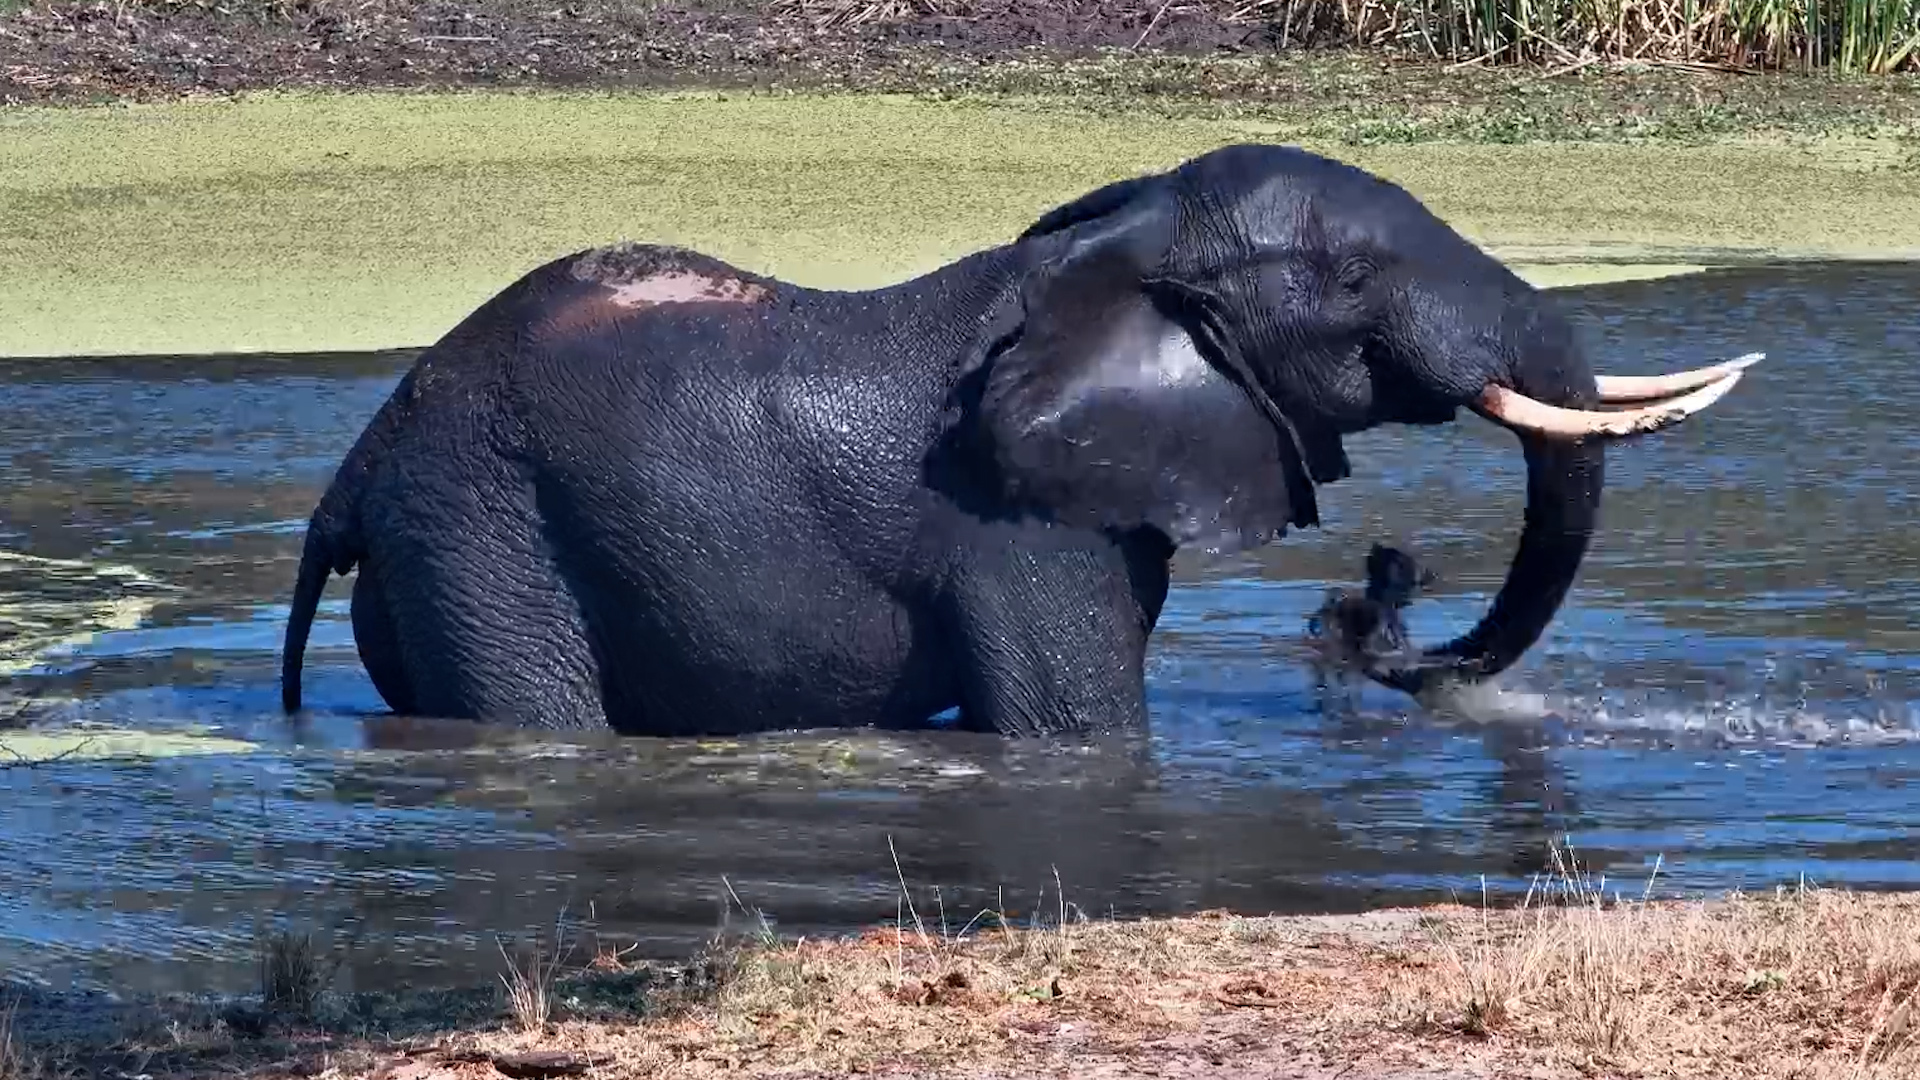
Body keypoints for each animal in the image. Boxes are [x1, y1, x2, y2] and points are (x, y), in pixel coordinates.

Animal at [279, 143, 1757, 738]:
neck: (1117, 248)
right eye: (1348, 283)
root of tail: (355, 471)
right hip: (481, 532)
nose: (1377, 602)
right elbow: (1076, 730)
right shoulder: (1021, 525)